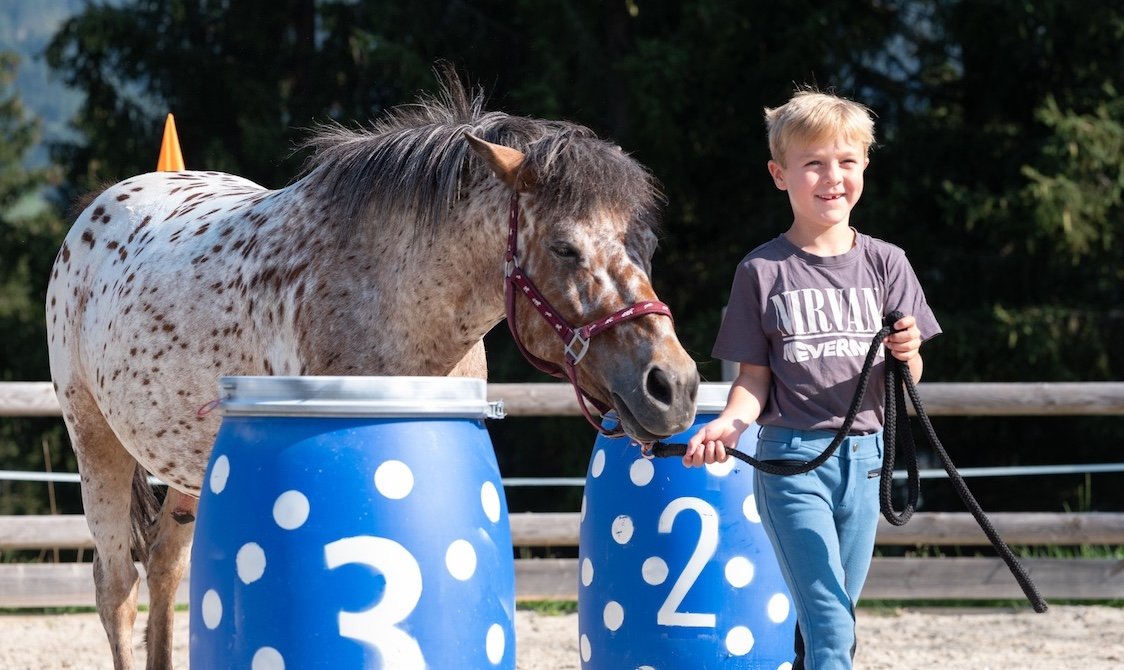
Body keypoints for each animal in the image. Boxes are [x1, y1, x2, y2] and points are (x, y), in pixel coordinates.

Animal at [45, 74, 700, 669]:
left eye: (644, 245)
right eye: (565, 247)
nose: (673, 386)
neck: (391, 297)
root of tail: (97, 213)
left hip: (186, 465)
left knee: (164, 567)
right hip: (95, 441)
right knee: (117, 586)